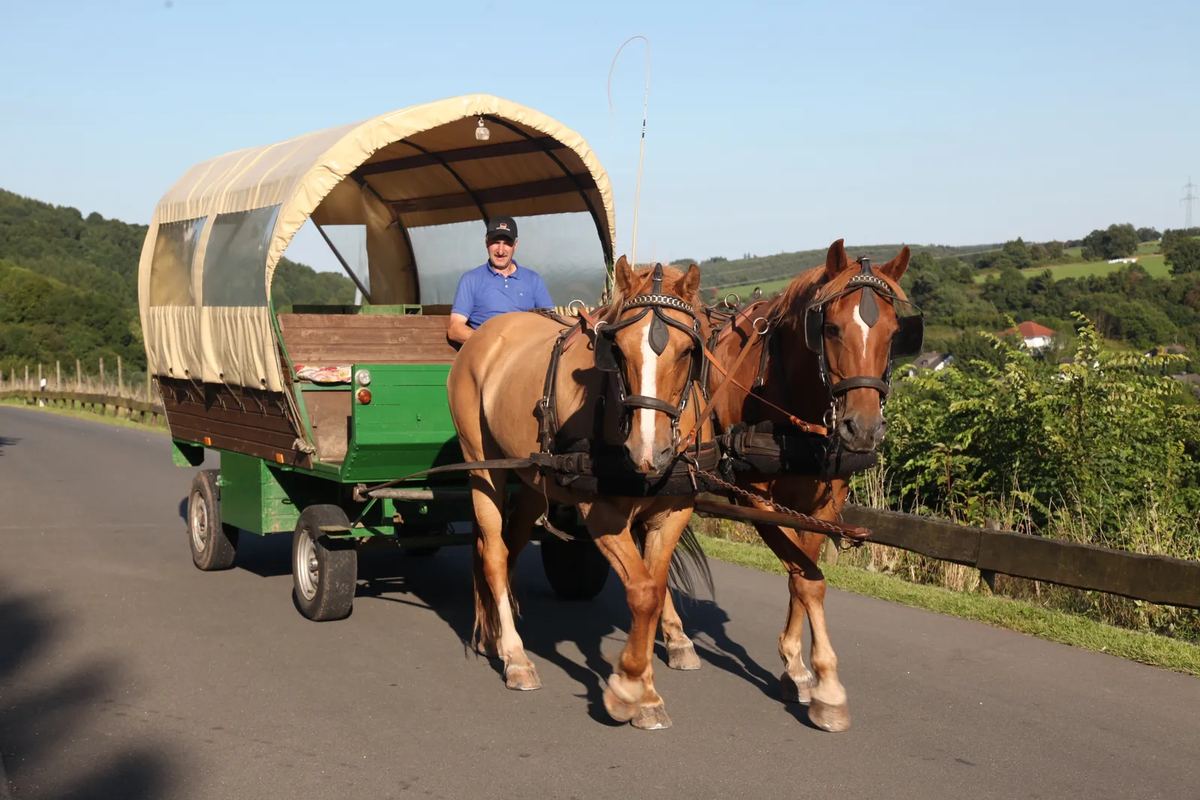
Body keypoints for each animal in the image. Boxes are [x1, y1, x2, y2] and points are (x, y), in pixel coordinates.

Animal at [446, 257, 712, 730]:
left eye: (687, 352)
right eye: (617, 350)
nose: (647, 451)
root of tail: (486, 334)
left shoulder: (674, 510)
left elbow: (654, 588)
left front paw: (645, 690)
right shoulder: (601, 510)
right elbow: (642, 591)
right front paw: (628, 690)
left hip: (532, 478)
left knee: (509, 546)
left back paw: (495, 636)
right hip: (481, 465)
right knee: (493, 551)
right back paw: (515, 656)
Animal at [658, 239, 916, 732]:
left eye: (896, 333)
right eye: (830, 328)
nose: (863, 429)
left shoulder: (824, 505)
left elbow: (803, 575)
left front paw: (795, 666)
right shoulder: (758, 500)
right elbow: (808, 581)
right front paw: (828, 689)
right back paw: (676, 636)